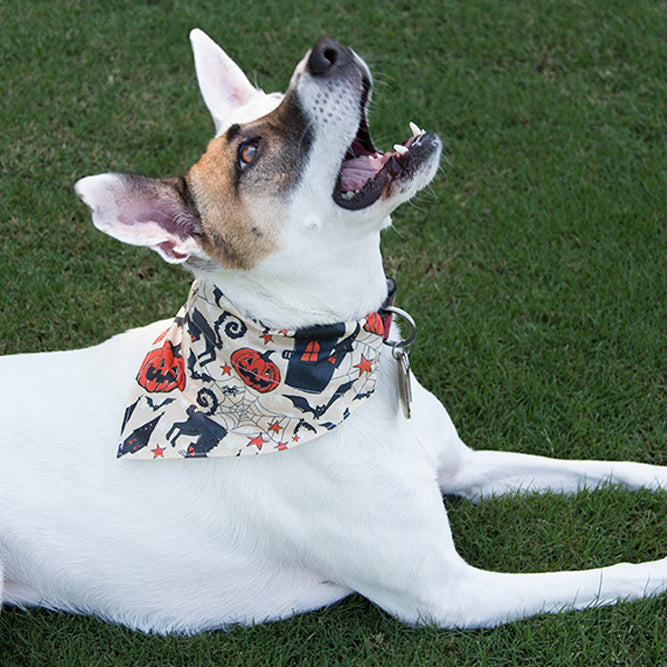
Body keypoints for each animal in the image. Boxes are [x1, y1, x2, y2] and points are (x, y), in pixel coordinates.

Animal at [1, 32, 667, 636]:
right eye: (249, 153)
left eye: (275, 98)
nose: (327, 51)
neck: (339, 359)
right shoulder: (449, 594)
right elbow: (612, 576)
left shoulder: (463, 466)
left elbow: (602, 467)